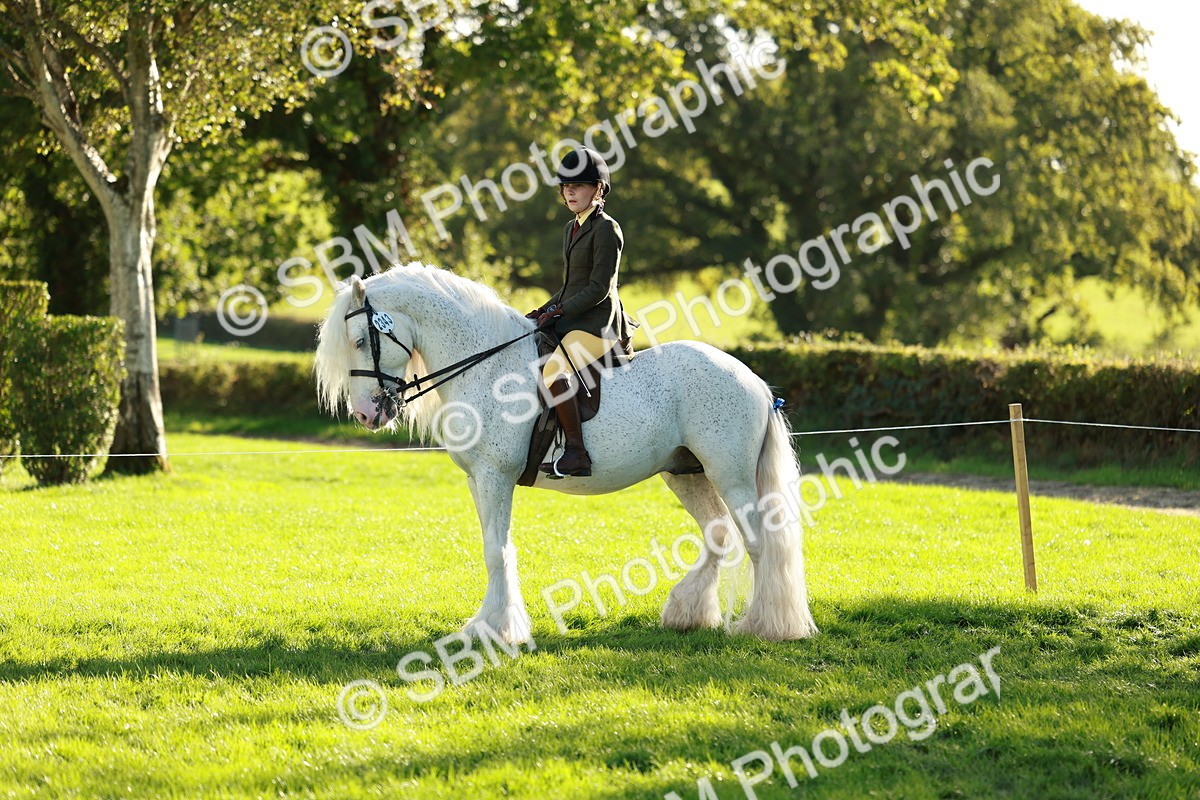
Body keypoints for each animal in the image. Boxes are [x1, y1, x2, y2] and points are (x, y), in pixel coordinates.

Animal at [314, 263, 817, 644]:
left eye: (359, 340)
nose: (366, 414)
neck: (487, 364)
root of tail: (751, 379)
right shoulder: (479, 478)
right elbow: (492, 547)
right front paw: (488, 625)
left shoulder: (496, 476)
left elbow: (496, 551)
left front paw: (499, 631)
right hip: (685, 473)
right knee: (718, 535)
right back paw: (688, 614)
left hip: (730, 474)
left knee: (758, 543)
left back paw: (765, 626)